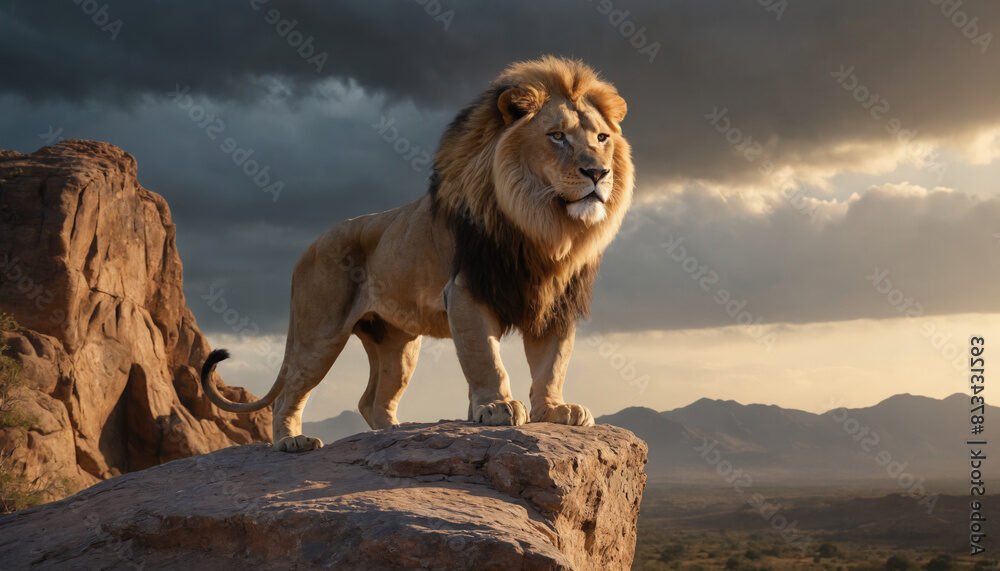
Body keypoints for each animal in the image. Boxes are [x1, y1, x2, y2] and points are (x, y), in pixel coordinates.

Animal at [200, 56, 634, 452]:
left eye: (601, 139)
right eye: (557, 136)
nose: (598, 173)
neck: (546, 228)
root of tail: (309, 246)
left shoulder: (556, 301)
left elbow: (552, 363)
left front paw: (555, 410)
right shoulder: (467, 291)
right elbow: (485, 358)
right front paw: (497, 407)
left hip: (398, 344)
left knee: (372, 400)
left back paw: (394, 435)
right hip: (319, 331)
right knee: (290, 392)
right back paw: (292, 441)